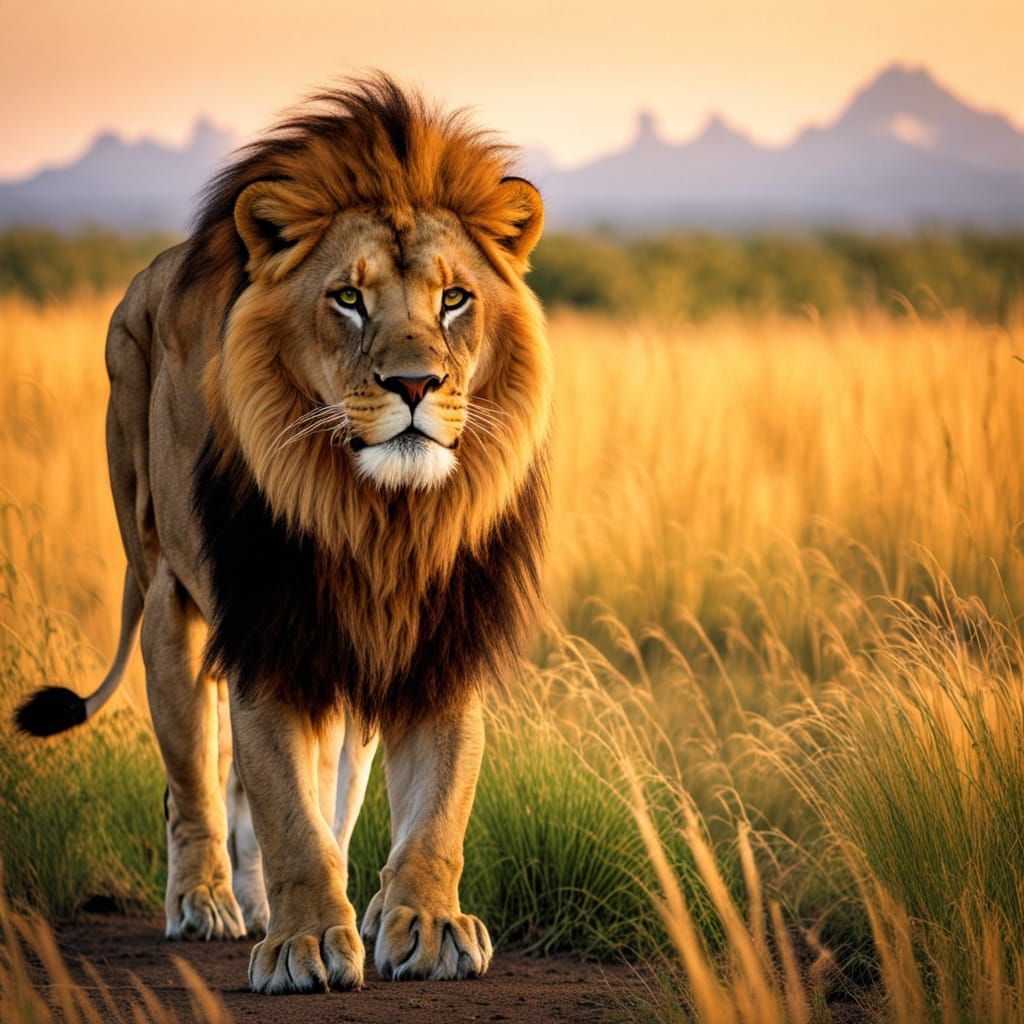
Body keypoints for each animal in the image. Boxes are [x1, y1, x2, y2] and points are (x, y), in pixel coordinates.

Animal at [14, 75, 551, 995]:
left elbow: (436, 805)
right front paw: (304, 942)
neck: (380, 517)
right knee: (194, 781)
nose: (416, 383)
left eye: (455, 298)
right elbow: (284, 812)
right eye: (348, 298)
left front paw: (424, 922)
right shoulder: (266, 630)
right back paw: (207, 904)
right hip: (168, 601)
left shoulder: (438, 634)